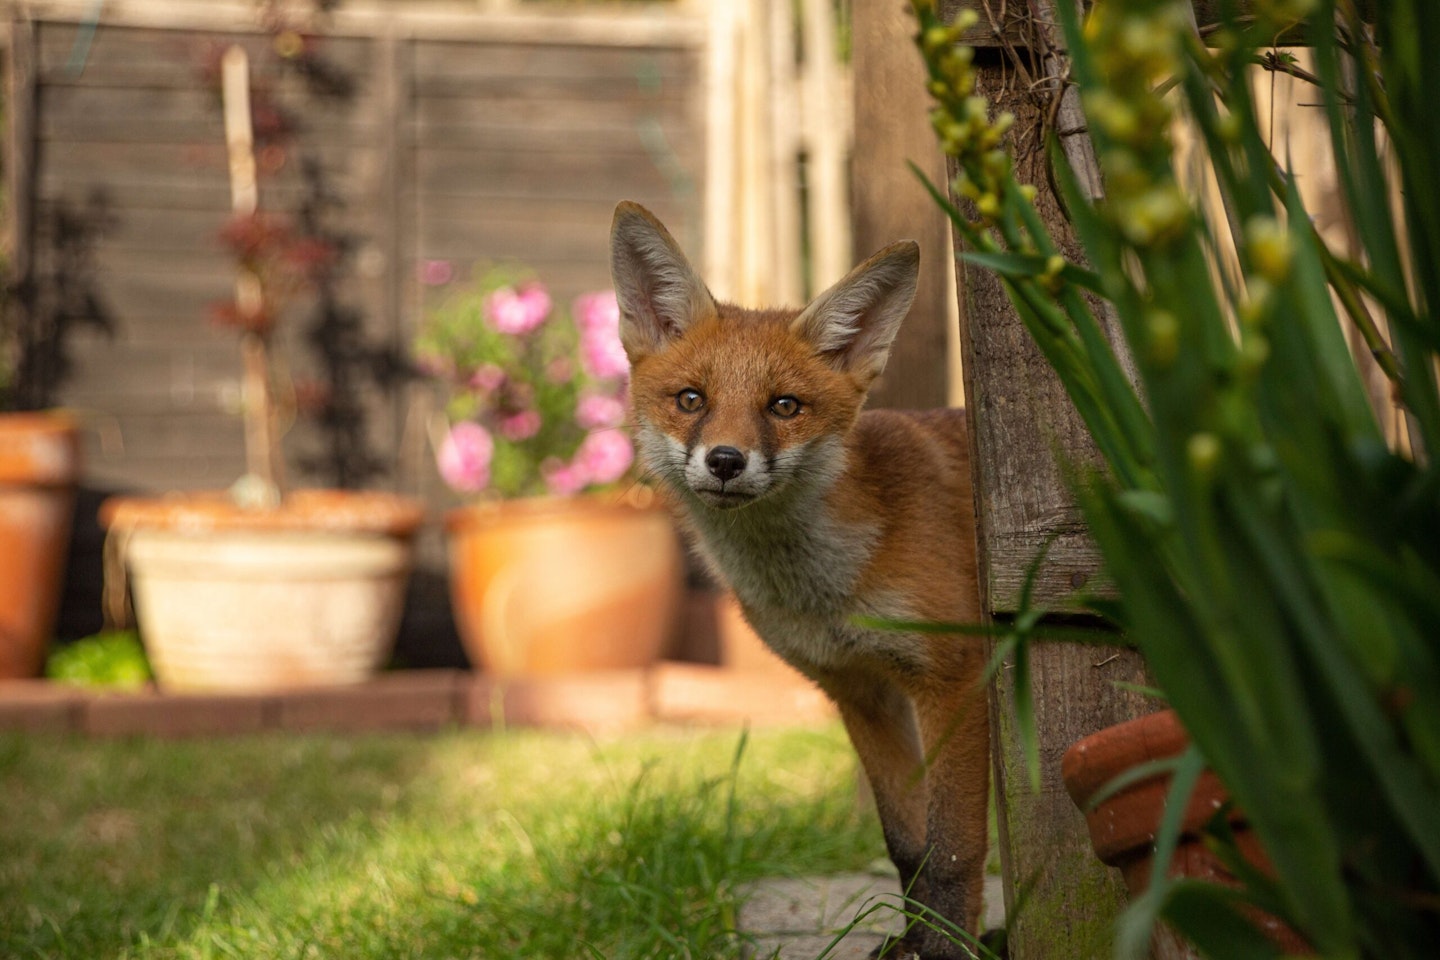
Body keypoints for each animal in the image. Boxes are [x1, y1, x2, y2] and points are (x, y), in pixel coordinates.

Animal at [607, 198, 990, 955]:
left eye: (784, 406)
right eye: (691, 400)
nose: (726, 461)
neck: (830, 592)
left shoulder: (954, 678)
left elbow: (954, 852)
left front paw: (947, 948)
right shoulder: (861, 691)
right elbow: (908, 846)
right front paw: (911, 942)